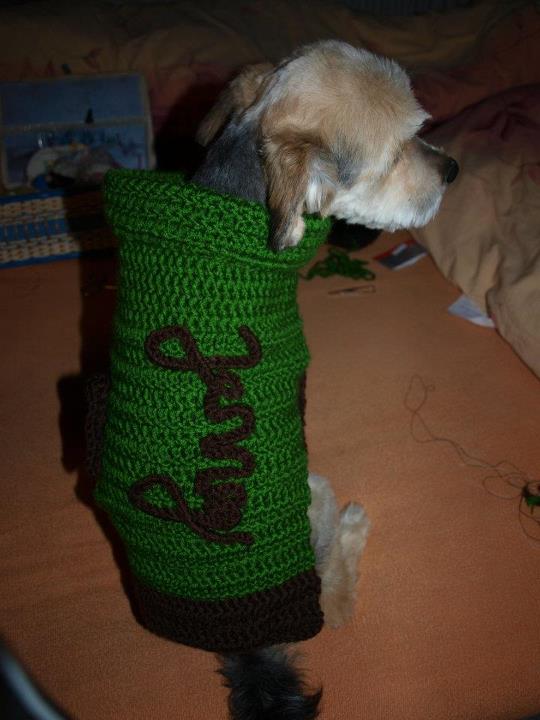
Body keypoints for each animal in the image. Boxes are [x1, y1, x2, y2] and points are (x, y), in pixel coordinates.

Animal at [191, 40, 458, 719]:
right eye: (396, 153)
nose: (454, 170)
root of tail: (249, 646)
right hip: (314, 489)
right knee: (334, 605)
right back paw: (355, 529)